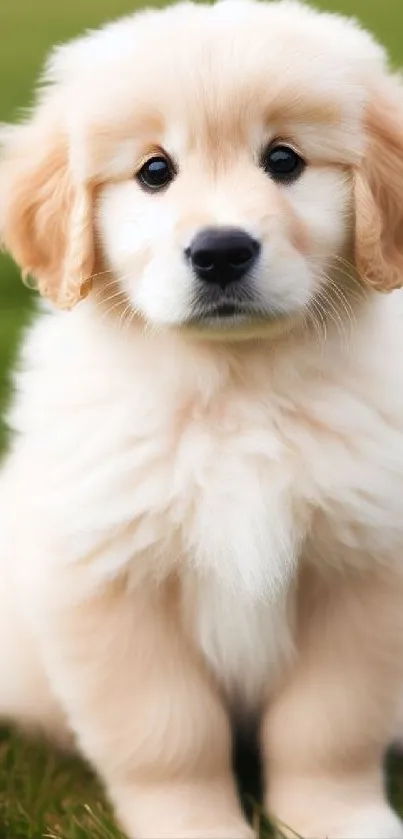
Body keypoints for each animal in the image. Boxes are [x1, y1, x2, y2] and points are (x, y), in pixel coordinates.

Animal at [1, 0, 403, 836]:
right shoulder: (110, 581)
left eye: (283, 160)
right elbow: (169, 736)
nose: (220, 252)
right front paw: (197, 827)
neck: (234, 387)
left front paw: (340, 818)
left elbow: (329, 728)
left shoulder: (361, 570)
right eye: (155, 171)